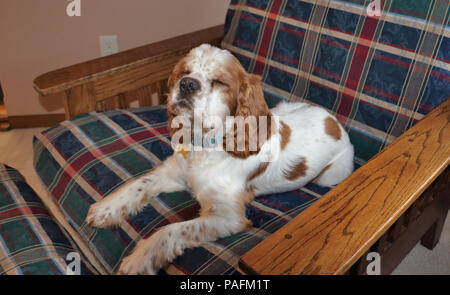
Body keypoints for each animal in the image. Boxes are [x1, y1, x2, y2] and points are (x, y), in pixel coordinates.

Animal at [85, 44, 356, 276]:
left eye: (219, 82)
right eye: (184, 72)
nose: (187, 84)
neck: (203, 145)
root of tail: (334, 121)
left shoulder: (228, 217)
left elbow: (171, 230)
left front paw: (140, 259)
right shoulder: (173, 172)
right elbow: (139, 184)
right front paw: (106, 208)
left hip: (330, 175)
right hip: (283, 107)